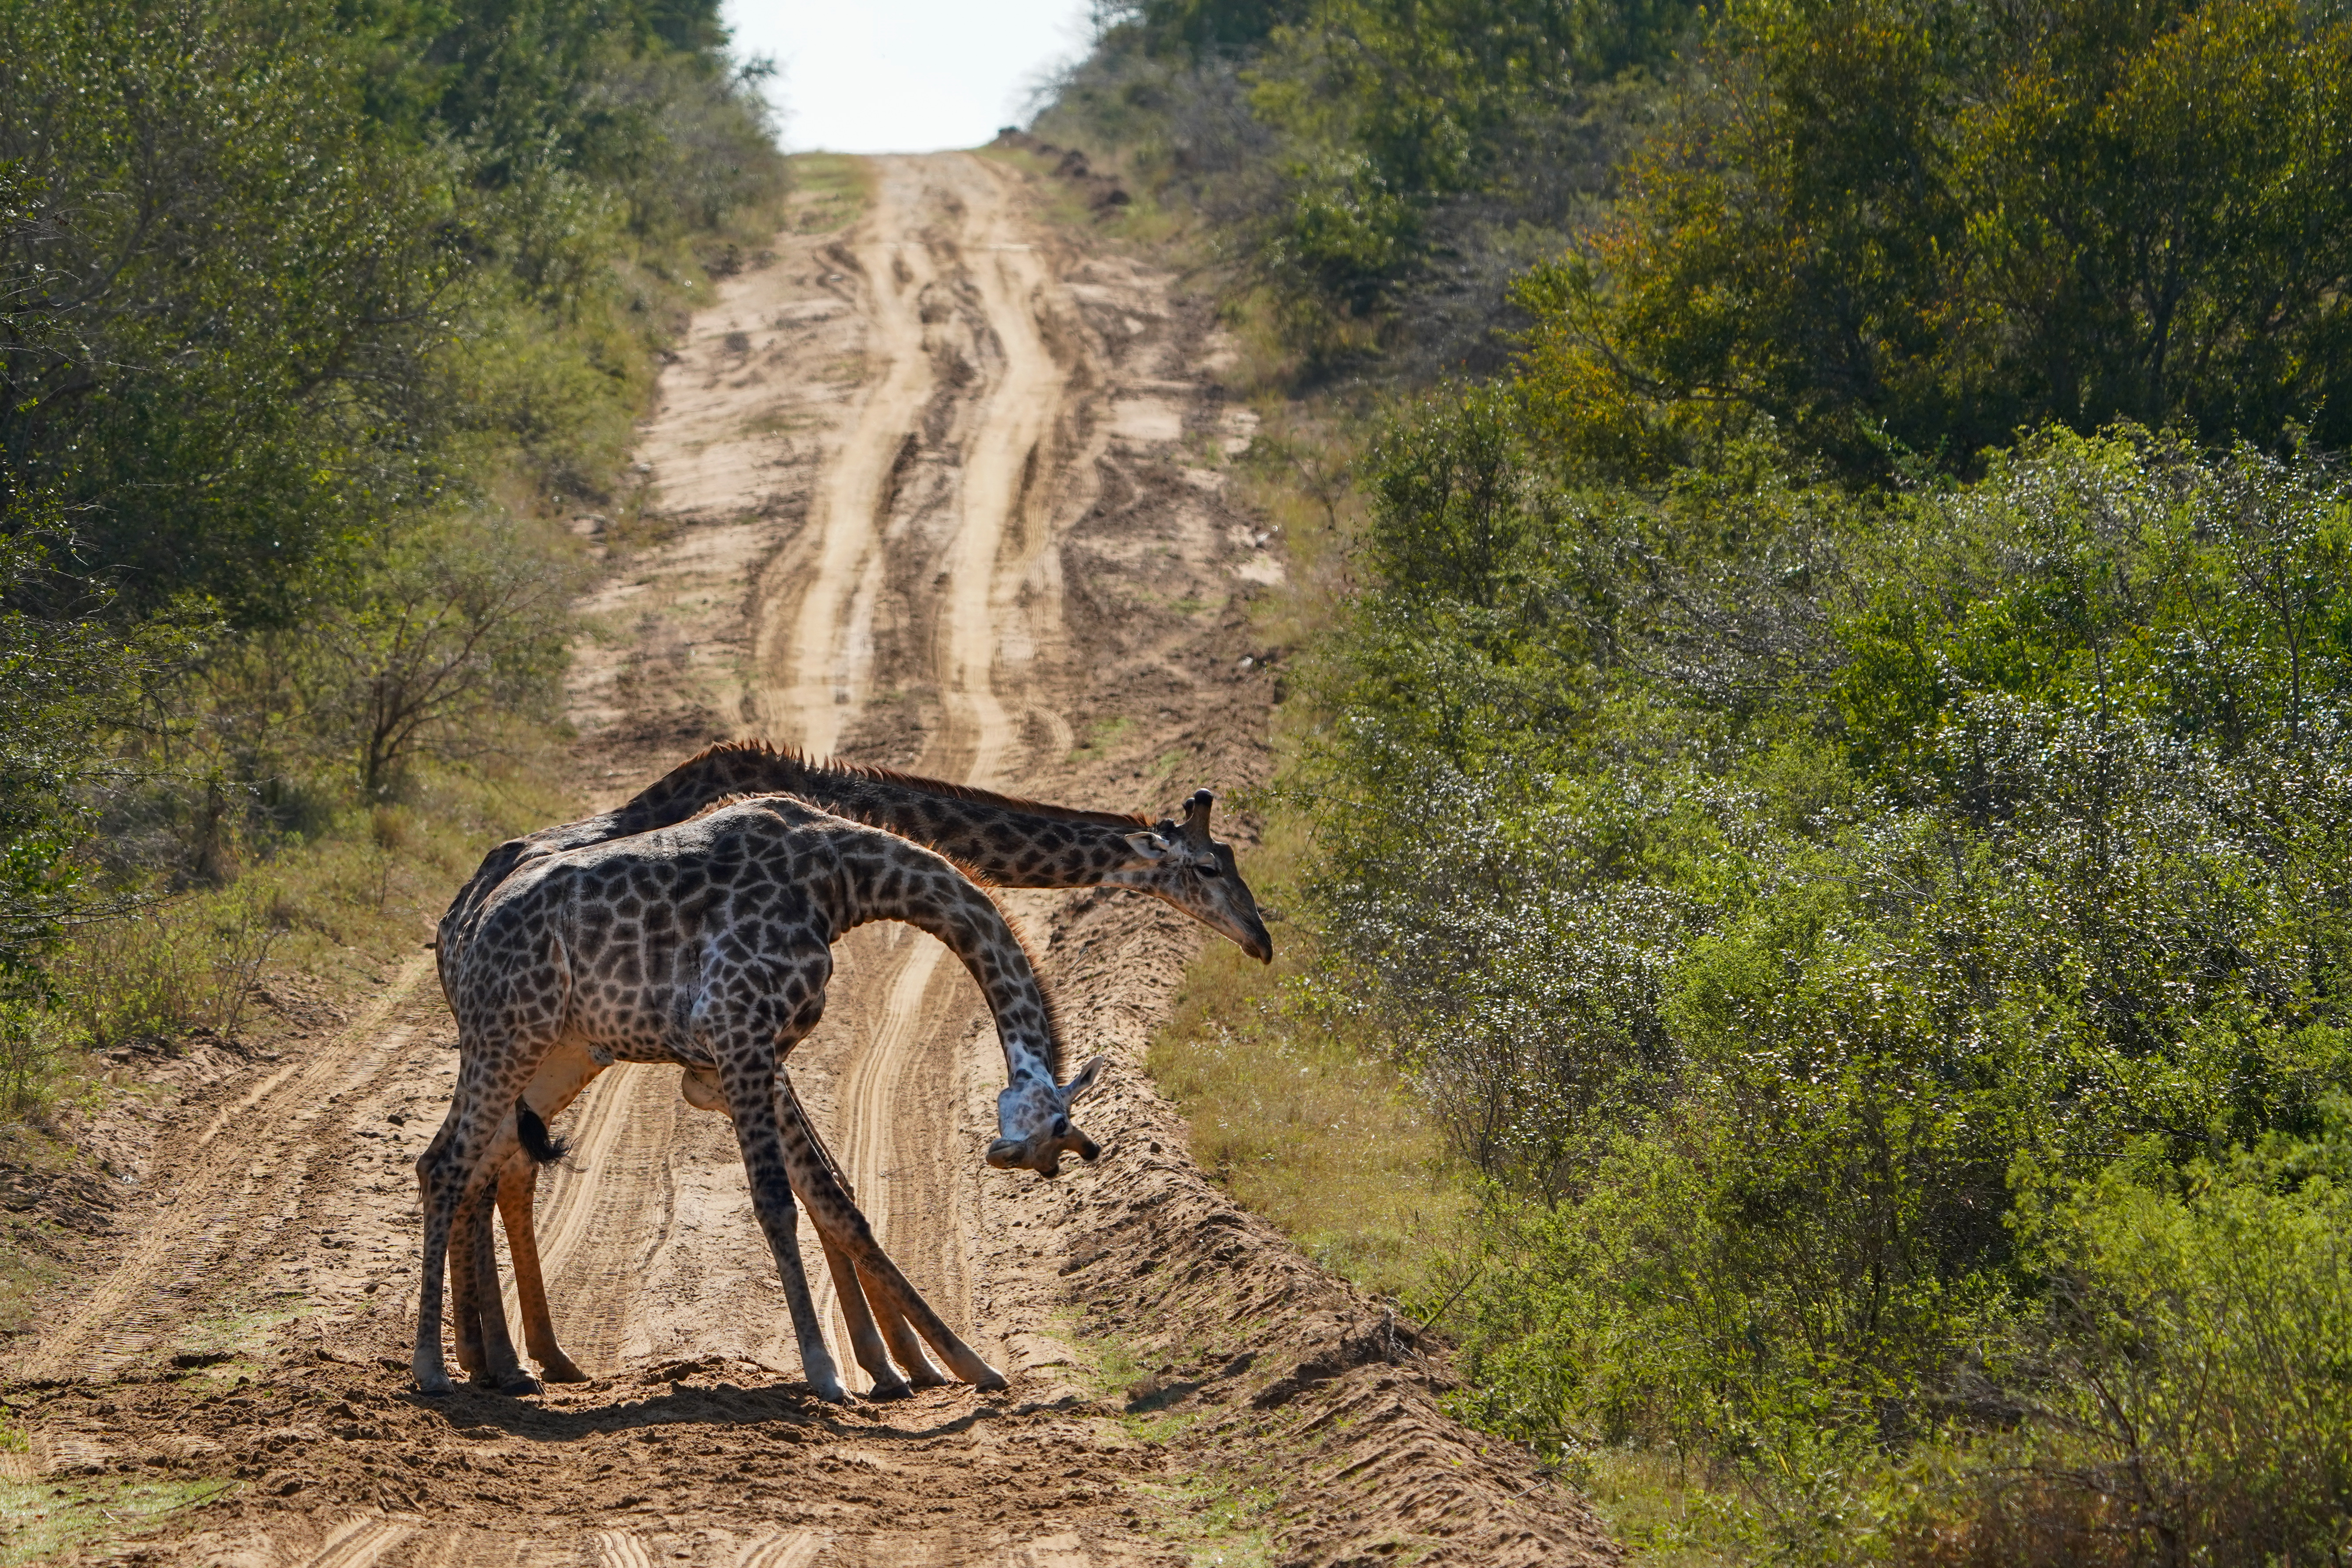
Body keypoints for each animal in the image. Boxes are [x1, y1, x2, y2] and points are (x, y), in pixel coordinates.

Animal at [435, 742, 1270, 1391]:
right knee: (489, 1159)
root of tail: (454, 926)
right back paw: (501, 1360)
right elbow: (826, 1187)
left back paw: (515, 1358)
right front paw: (900, 1362)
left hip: (560, 1047)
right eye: (1207, 866)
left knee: (496, 1161)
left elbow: (824, 1186)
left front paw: (896, 1358)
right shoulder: (736, 1036)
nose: (1260, 939)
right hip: (547, 1041)